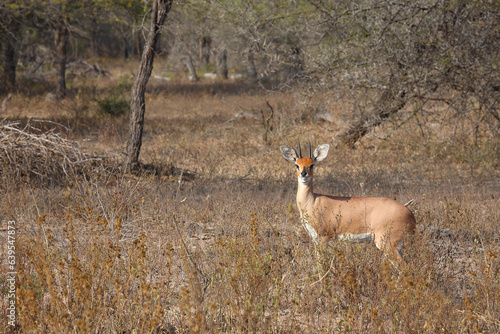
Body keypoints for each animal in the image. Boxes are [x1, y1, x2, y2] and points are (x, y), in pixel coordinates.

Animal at [282, 142, 418, 260]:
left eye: (312, 165)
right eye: (297, 164)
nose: (303, 174)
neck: (312, 202)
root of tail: (410, 214)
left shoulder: (324, 237)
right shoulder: (315, 238)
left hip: (386, 243)